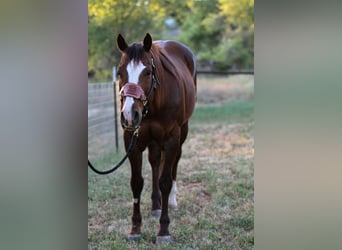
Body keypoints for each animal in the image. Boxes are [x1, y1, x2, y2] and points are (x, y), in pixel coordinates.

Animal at [115, 32, 196, 243]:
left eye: (147, 73)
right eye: (119, 72)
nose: (129, 115)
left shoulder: (171, 139)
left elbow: (165, 181)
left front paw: (164, 230)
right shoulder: (132, 141)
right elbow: (136, 182)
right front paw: (135, 228)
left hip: (182, 132)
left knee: (174, 161)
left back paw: (171, 201)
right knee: (154, 162)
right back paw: (155, 206)